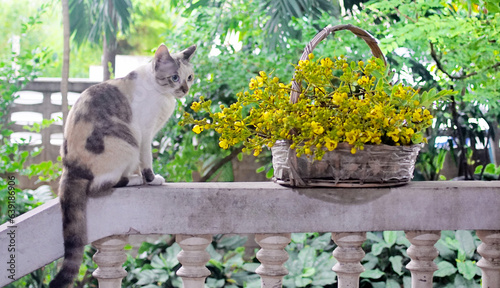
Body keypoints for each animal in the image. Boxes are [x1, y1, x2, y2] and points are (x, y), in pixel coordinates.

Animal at [49, 43, 195, 288]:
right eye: (174, 77)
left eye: (190, 77)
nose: (184, 89)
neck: (163, 96)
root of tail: (70, 166)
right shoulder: (145, 134)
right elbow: (147, 162)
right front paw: (151, 180)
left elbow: (141, 164)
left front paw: (144, 178)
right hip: (128, 141)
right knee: (102, 185)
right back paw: (134, 180)